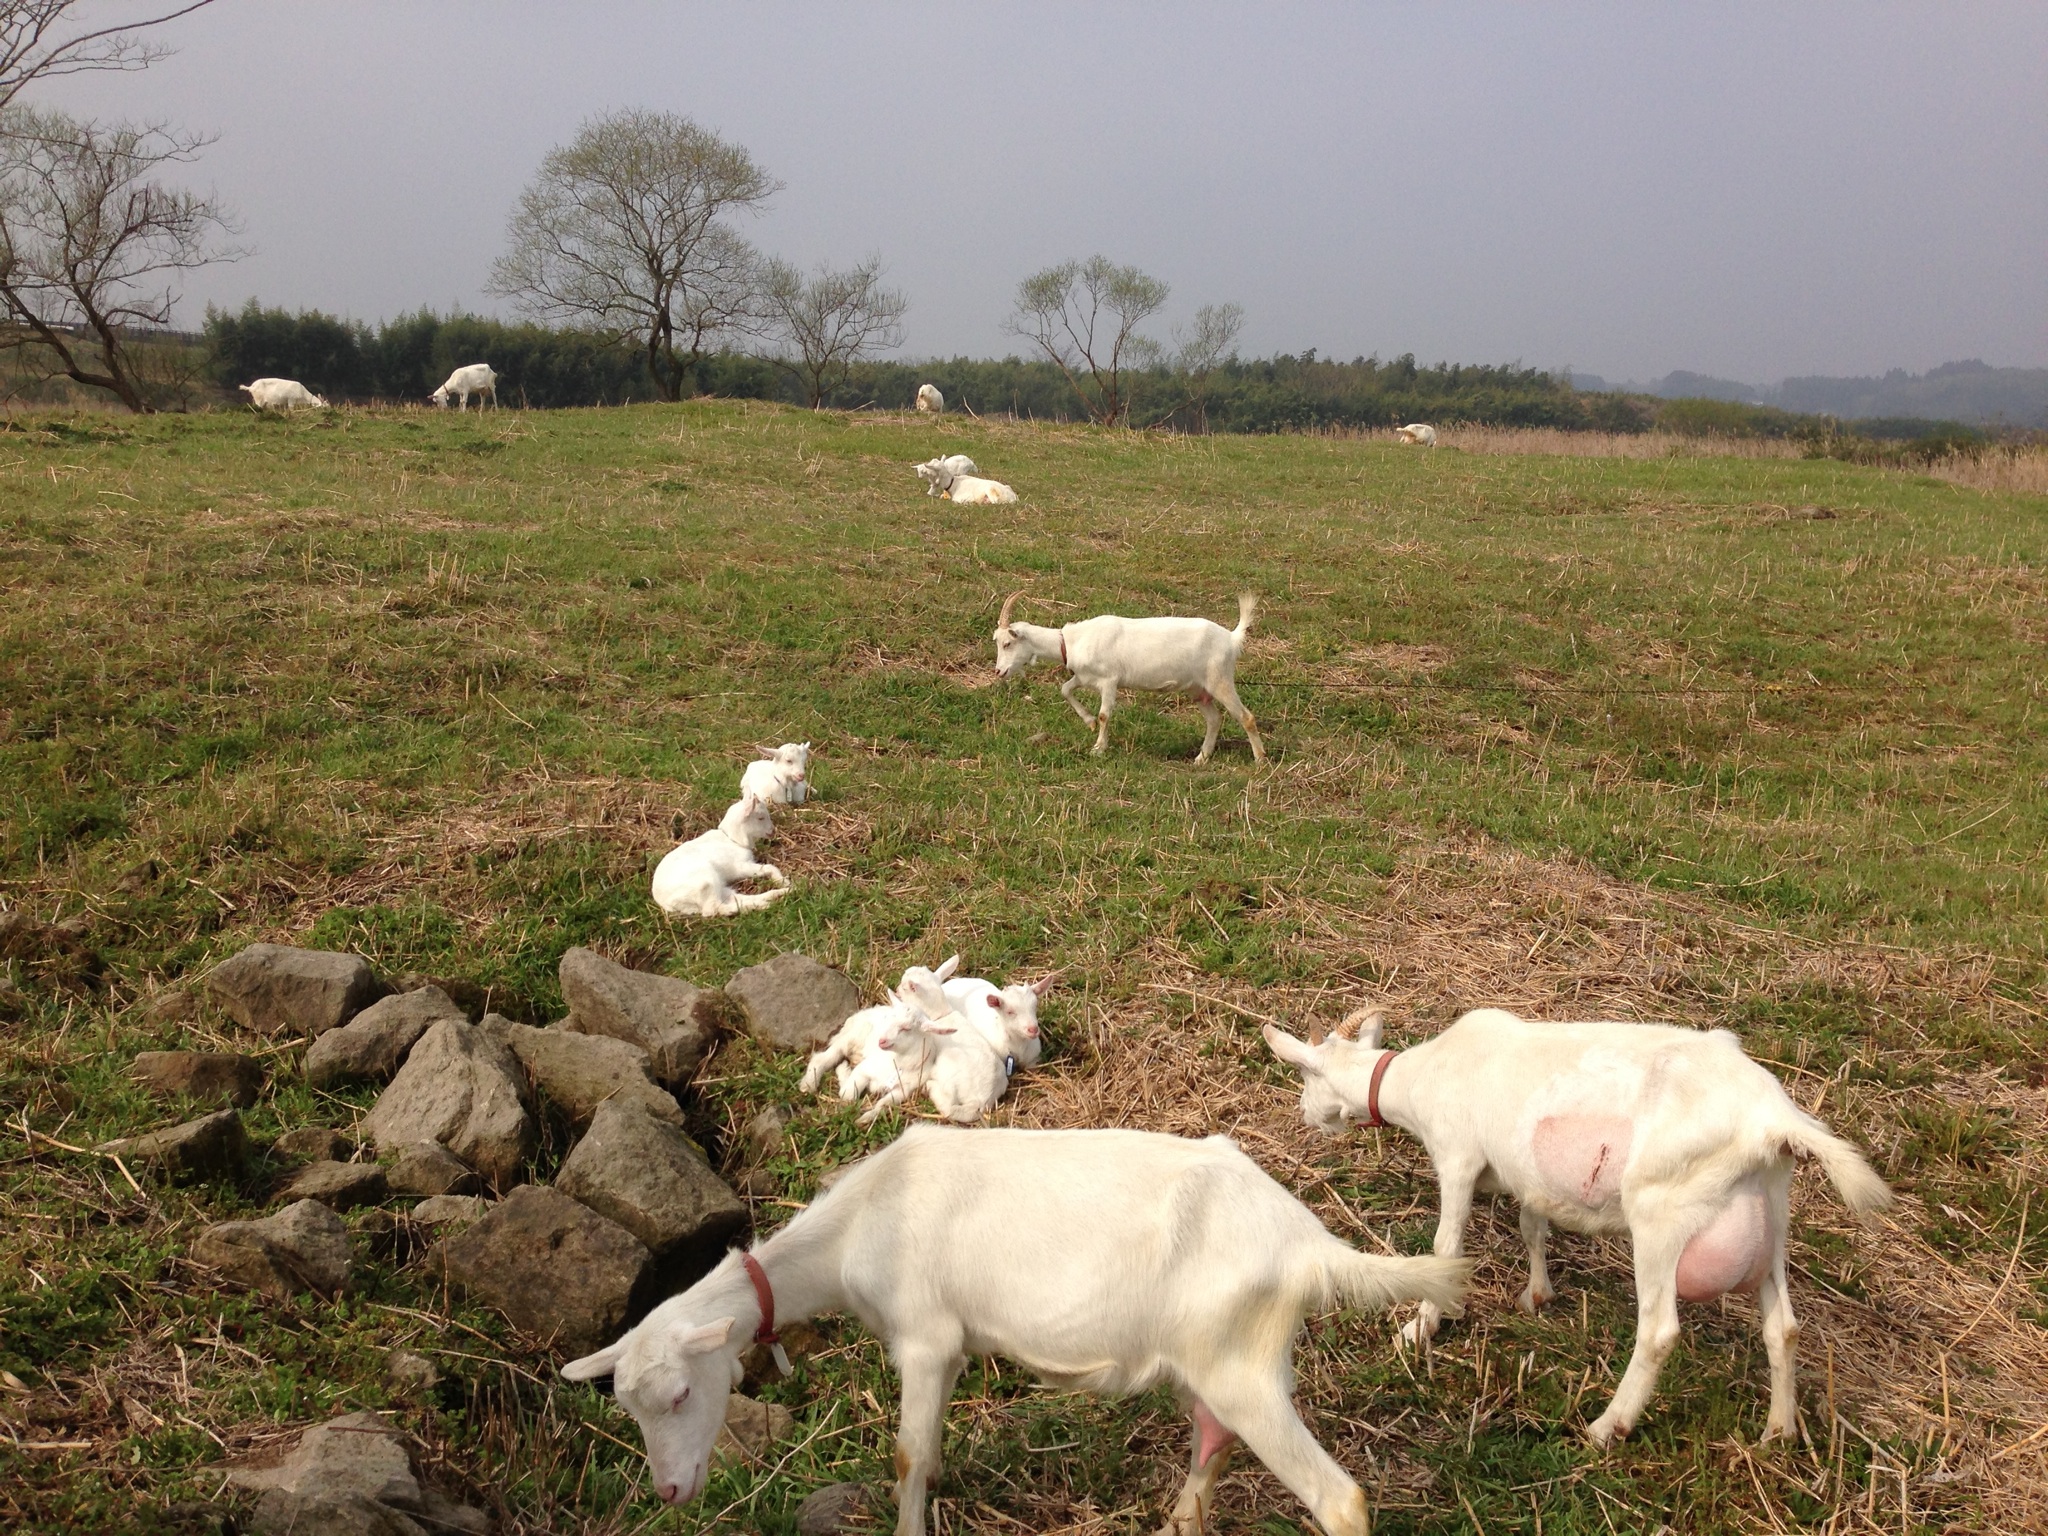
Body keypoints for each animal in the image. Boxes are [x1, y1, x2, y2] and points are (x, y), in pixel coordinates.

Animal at [561, 1122, 1474, 1536]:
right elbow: (928, 1455)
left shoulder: (924, 1336)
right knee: (1211, 1442)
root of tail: (1309, 1245)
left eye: (682, 1394)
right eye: (629, 1408)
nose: (669, 1492)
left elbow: (907, 1456)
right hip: (1215, 1360)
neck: (859, 1222)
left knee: (1340, 1498)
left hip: (1241, 1361)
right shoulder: (951, 1348)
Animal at [651, 798, 786, 921]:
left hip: (718, 886)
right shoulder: (740, 866)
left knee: (732, 898)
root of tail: (664, 902)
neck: (732, 839)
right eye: (761, 818)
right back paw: (760, 905)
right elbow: (769, 867)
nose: (773, 831)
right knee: (713, 909)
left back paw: (778, 895)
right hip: (705, 883)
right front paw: (783, 881)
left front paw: (784, 884)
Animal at [995, 589, 1261, 765]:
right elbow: (1065, 689)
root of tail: (1231, 638)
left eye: (1007, 643)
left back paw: (1260, 759)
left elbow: (1105, 714)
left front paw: (1098, 748)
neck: (1071, 641)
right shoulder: (1085, 677)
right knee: (1215, 719)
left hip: (1220, 679)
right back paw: (1201, 758)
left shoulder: (1109, 680)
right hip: (1197, 688)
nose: (998, 671)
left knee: (1246, 717)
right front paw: (1088, 722)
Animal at [1253, 1003, 1892, 1449]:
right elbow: (1531, 1225)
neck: (1422, 1076)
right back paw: (1777, 1433)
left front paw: (1419, 1329)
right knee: (1783, 1327)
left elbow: (1446, 1243)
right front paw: (1537, 1295)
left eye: (1306, 1079)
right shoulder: (1526, 1174)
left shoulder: (1458, 1156)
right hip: (1771, 1219)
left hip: (1663, 1212)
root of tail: (1772, 1122)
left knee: (1659, 1332)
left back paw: (1607, 1427)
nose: (1307, 1118)